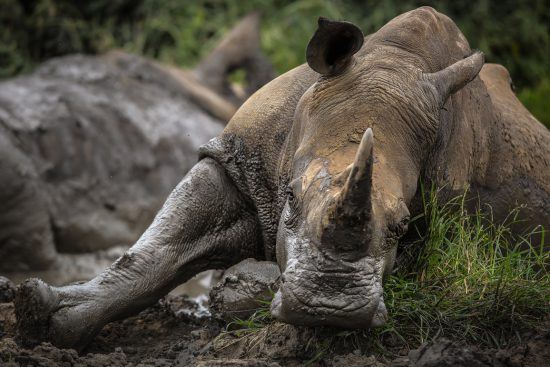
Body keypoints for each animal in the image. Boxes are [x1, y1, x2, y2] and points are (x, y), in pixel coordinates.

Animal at [15, 7, 548, 350]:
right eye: (289, 198)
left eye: (402, 225)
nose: (328, 307)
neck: (399, 61)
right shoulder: (237, 162)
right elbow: (157, 251)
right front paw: (42, 314)